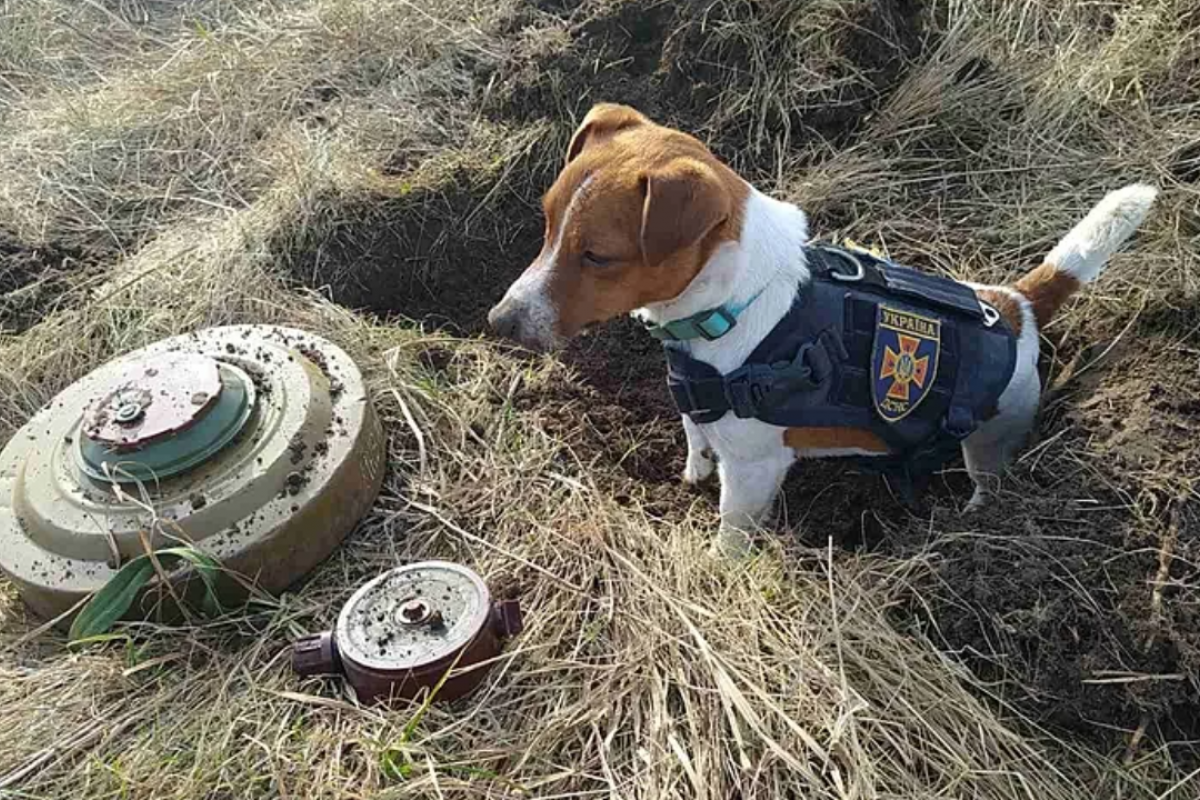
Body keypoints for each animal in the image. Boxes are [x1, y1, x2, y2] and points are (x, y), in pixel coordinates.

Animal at [487, 103, 1152, 556]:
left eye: (598, 256)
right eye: (546, 222)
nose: (499, 321)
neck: (734, 302)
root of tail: (1014, 305)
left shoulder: (754, 470)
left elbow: (731, 530)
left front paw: (717, 565)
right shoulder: (698, 409)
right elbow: (696, 441)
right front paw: (690, 476)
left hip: (991, 440)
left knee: (988, 480)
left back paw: (973, 519)